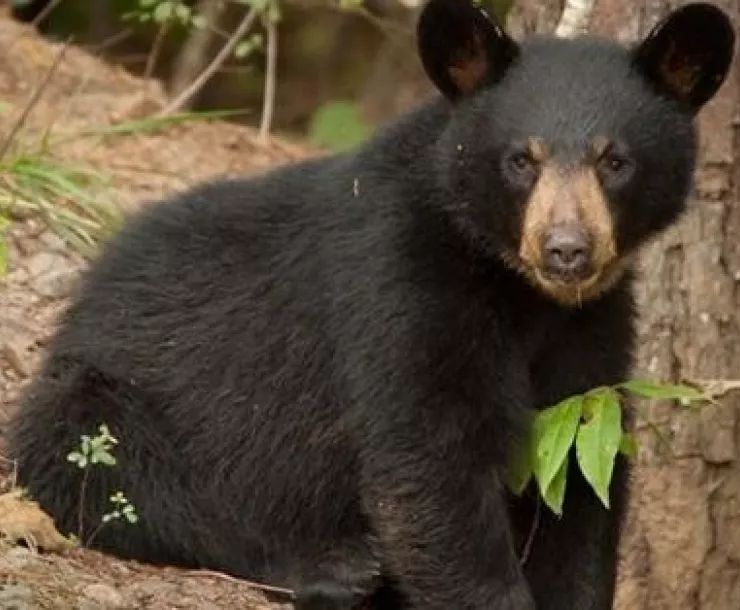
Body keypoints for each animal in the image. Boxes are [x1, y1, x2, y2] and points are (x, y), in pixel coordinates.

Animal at [6, 1, 735, 609]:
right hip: (107, 398)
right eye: (520, 160)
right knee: (114, 472)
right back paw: (333, 567)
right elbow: (427, 468)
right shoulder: (400, 282)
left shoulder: (591, 328)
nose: (567, 251)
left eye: (615, 161)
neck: (520, 292)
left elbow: (581, 482)